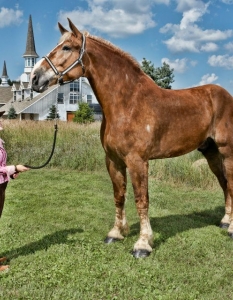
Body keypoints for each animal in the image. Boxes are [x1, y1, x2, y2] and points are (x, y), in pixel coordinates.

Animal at [31, 19, 233, 258]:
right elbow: (119, 195)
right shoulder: (113, 160)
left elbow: (141, 199)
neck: (127, 103)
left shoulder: (138, 161)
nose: (35, 77)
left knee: (230, 183)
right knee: (224, 183)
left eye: (66, 48)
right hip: (211, 152)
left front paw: (143, 244)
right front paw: (116, 233)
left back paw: (231, 228)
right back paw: (225, 221)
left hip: (227, 151)